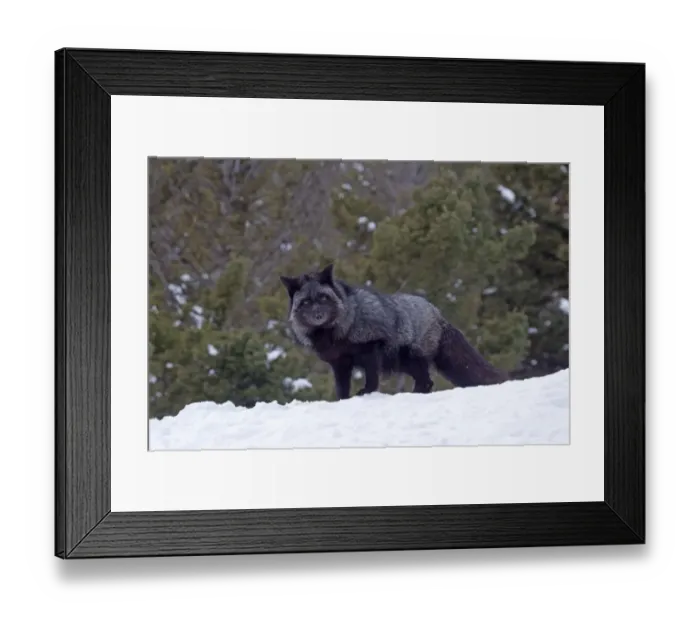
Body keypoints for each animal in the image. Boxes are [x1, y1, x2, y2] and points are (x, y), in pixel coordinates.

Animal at [279, 263, 508, 400]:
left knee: (427, 381)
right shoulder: (340, 362)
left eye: (323, 298)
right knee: (426, 382)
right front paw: (343, 400)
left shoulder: (370, 348)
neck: (338, 332)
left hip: (411, 357)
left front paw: (366, 393)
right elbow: (341, 387)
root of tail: (437, 313)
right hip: (404, 363)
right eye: (306, 302)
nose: (318, 315)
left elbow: (372, 379)